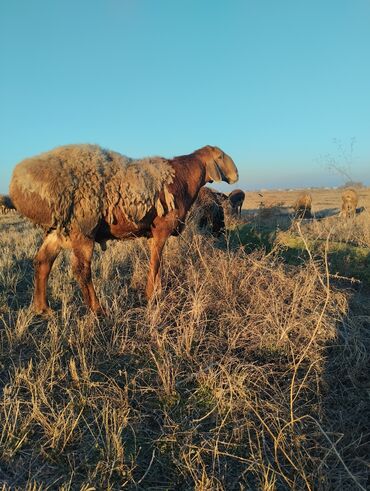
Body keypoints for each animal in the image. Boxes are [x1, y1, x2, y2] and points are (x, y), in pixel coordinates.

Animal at [10, 143, 240, 316]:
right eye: (220, 156)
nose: (236, 173)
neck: (182, 176)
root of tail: (18, 184)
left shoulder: (153, 234)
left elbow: (157, 262)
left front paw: (156, 291)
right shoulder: (161, 229)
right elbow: (156, 262)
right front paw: (151, 295)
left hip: (57, 231)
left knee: (42, 262)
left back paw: (43, 309)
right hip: (82, 230)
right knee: (81, 270)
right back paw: (97, 309)